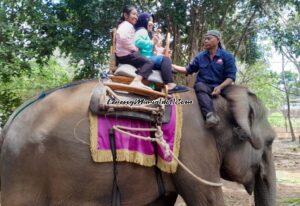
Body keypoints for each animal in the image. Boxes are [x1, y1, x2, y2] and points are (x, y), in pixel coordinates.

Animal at [0, 80, 276, 206]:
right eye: (271, 141)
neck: (215, 100)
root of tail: (9, 122)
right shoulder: (194, 148)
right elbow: (208, 199)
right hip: (24, 173)